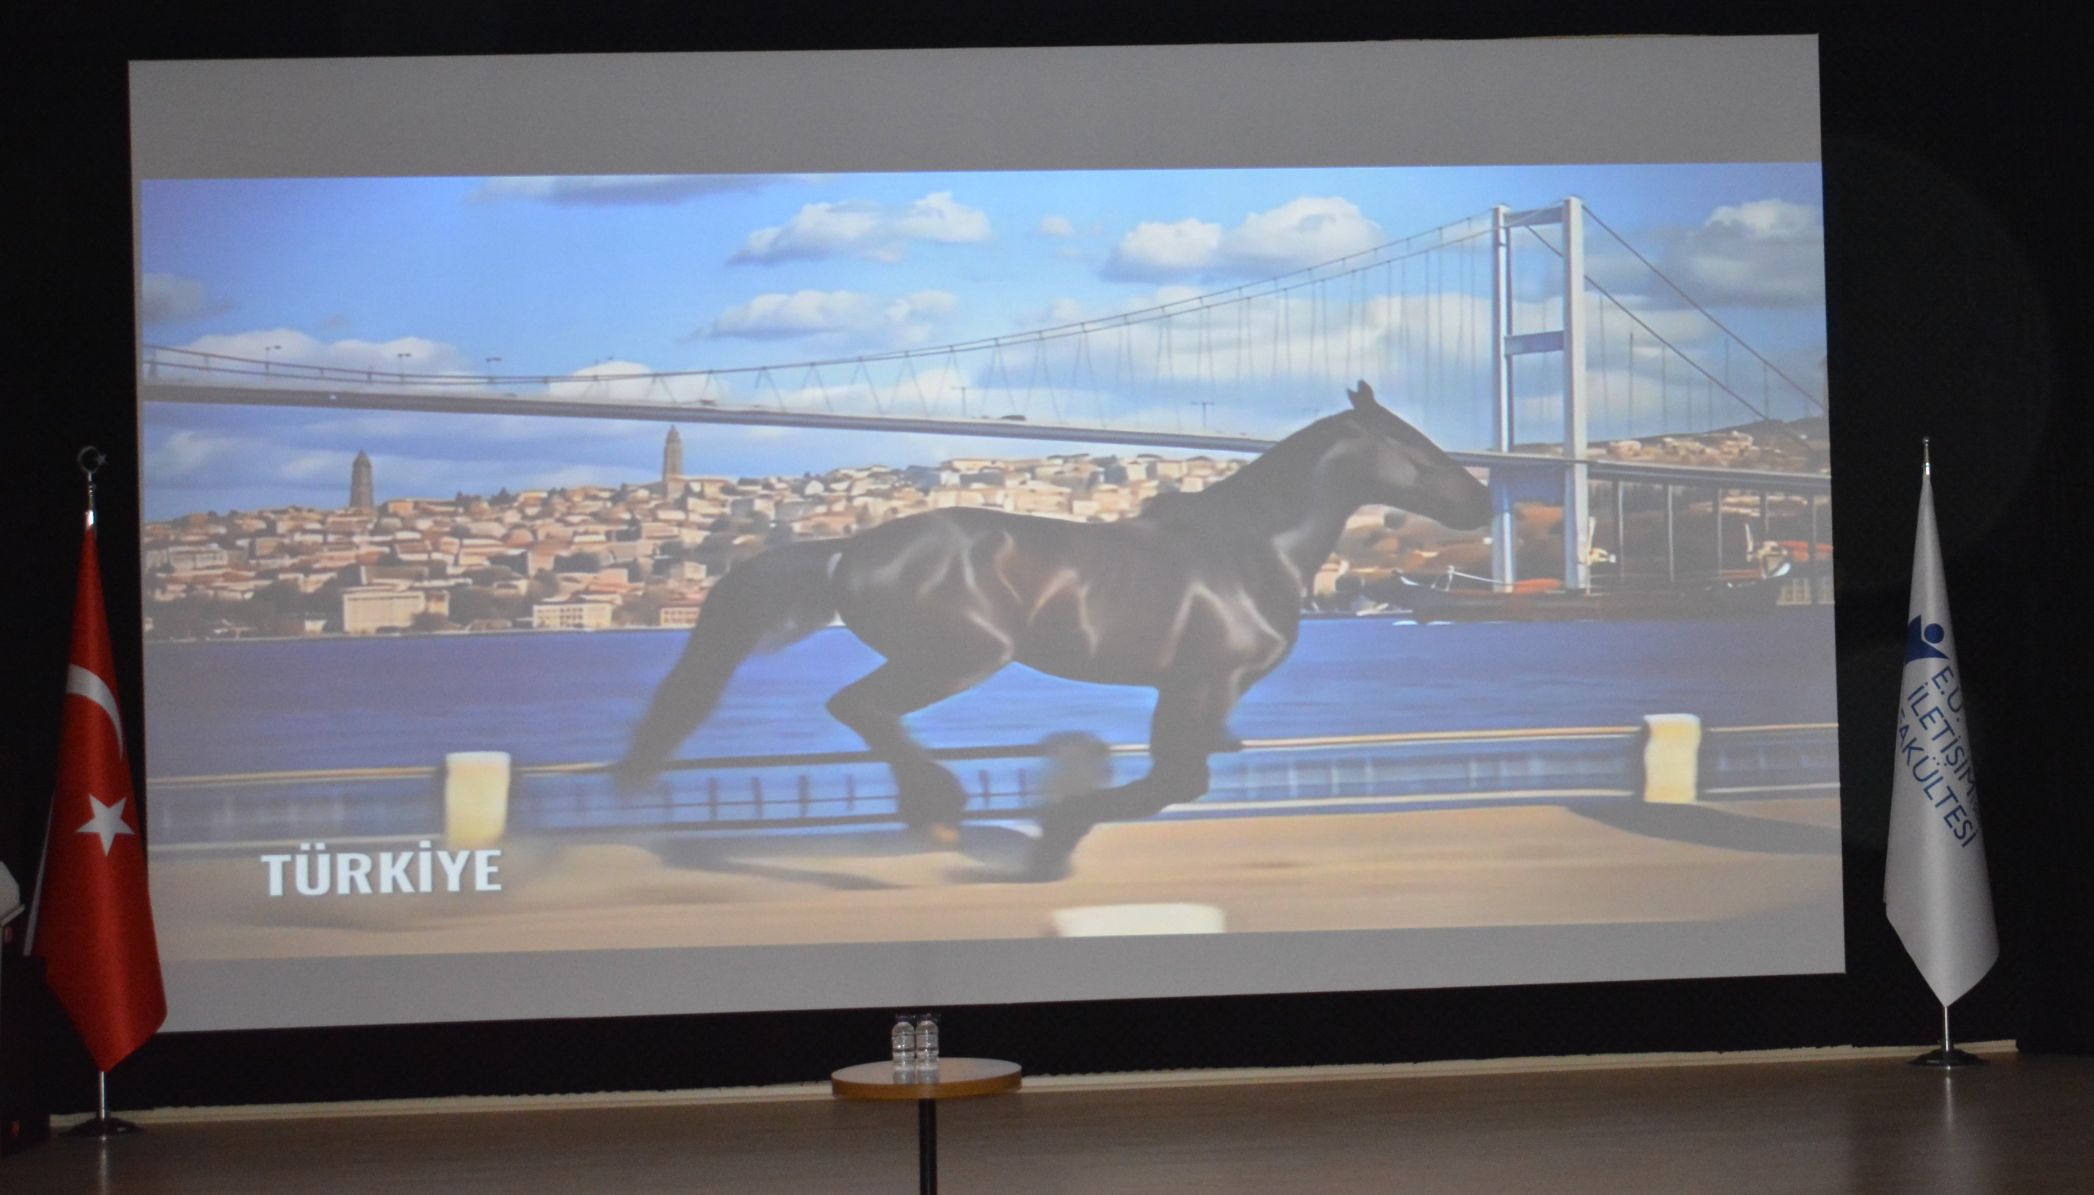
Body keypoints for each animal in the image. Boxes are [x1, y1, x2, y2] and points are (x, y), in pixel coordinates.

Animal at [615, 381, 1493, 878]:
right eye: (1412, 443)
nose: (1486, 501)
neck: (1251, 547)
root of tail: (848, 549)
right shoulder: (1204, 680)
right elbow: (1178, 781)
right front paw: (1052, 839)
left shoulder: (1189, 689)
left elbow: (1183, 777)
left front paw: (1053, 835)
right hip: (964, 654)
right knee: (858, 706)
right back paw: (937, 804)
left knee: (862, 710)